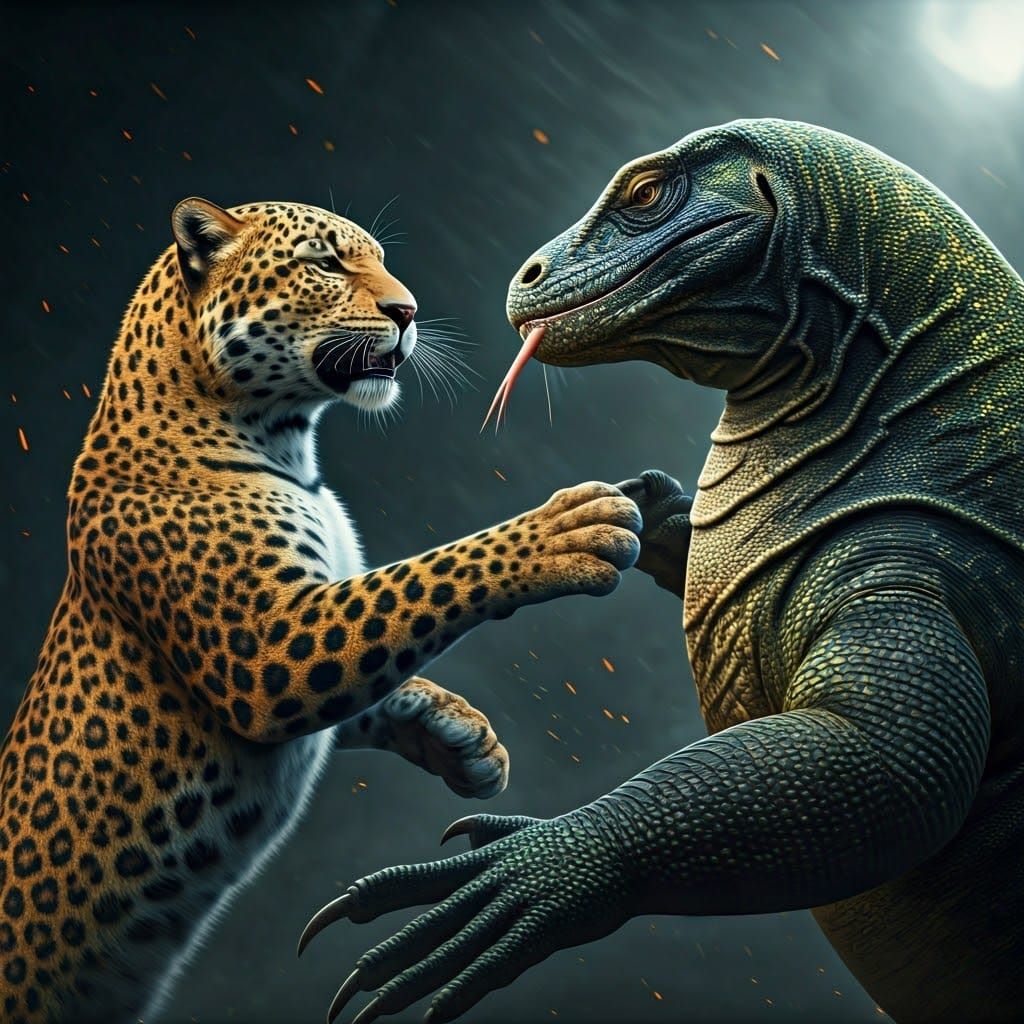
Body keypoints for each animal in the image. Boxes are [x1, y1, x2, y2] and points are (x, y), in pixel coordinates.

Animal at [0, 197, 643, 1022]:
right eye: (325, 263)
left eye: (376, 261)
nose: (407, 311)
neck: (286, 443)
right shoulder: (265, 649)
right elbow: (424, 579)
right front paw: (563, 531)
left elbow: (384, 670)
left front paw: (461, 737)